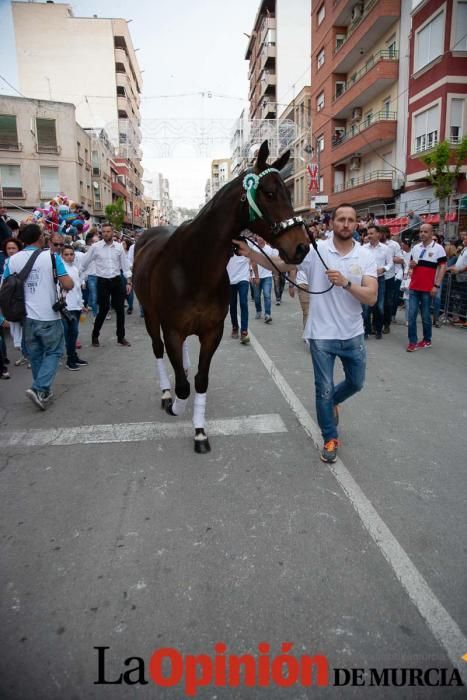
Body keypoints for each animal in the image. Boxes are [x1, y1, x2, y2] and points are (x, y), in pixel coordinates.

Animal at [134, 141, 310, 454]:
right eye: (269, 193)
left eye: (289, 193)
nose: (301, 247)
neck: (194, 267)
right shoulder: (172, 329)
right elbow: (183, 385)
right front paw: (177, 405)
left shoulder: (211, 332)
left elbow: (200, 380)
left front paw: (200, 431)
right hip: (151, 317)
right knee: (157, 350)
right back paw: (166, 394)